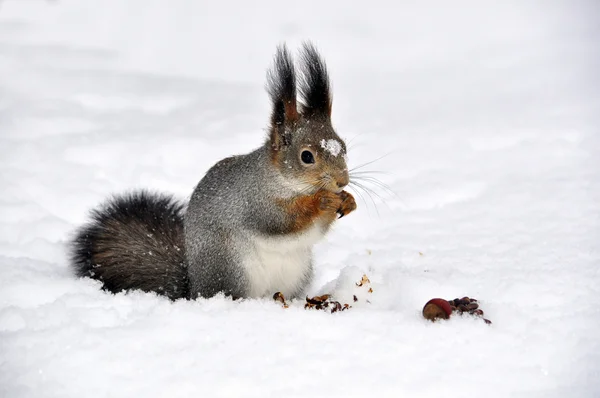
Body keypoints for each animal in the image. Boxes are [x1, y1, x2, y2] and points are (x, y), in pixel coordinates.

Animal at [69, 42, 356, 298]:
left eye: (343, 146)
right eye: (306, 156)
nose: (342, 181)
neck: (286, 183)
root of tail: (194, 288)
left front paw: (348, 200)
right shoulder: (253, 202)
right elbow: (280, 221)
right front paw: (322, 200)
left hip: (296, 273)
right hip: (231, 266)